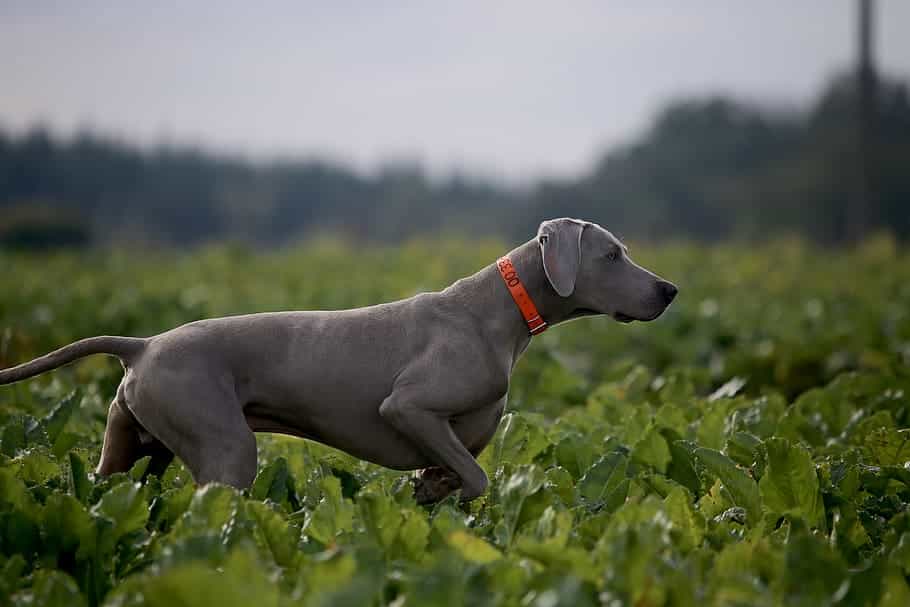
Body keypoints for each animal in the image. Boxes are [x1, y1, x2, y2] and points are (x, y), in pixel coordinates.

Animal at [0, 218, 676, 504]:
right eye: (613, 255)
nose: (670, 291)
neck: (500, 313)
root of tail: (142, 346)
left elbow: (455, 472)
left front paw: (431, 490)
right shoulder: (409, 407)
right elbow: (478, 477)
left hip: (133, 451)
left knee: (102, 493)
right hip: (226, 449)